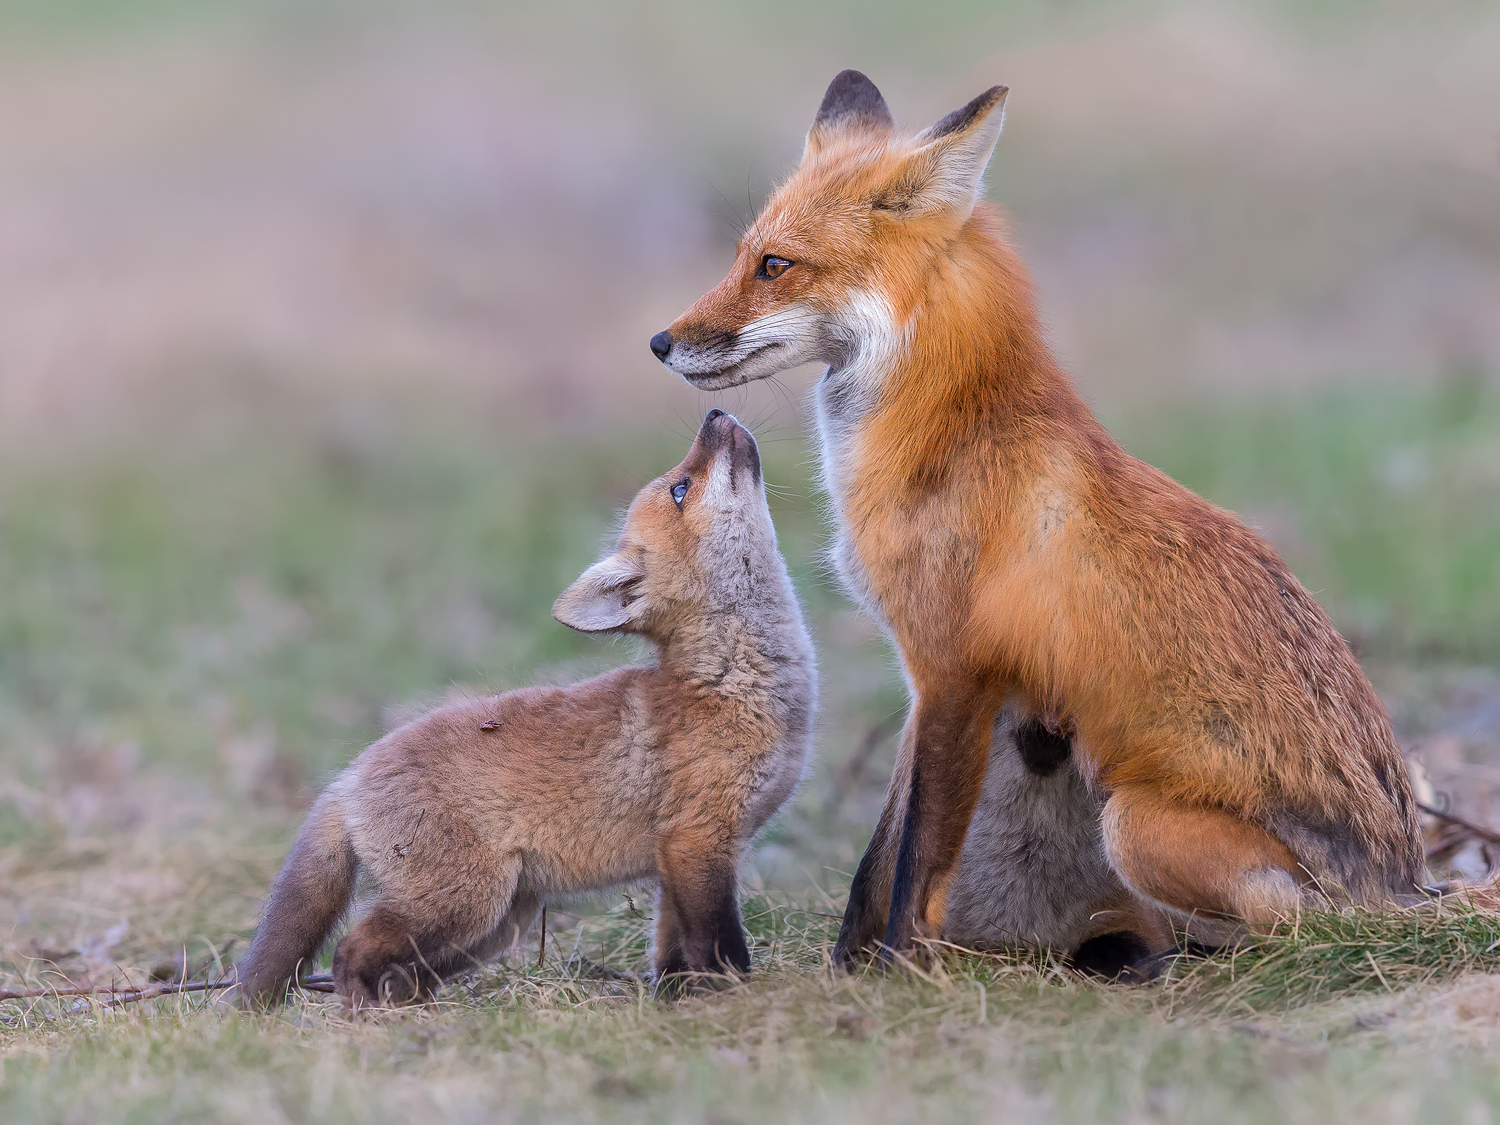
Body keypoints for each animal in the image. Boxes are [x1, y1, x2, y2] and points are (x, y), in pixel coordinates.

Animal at [231, 414, 822, 1014]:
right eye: (681, 488)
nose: (713, 416)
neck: (731, 684)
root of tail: (349, 776)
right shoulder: (697, 841)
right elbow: (721, 946)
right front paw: (738, 1000)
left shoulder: (679, 861)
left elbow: (673, 956)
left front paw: (676, 1003)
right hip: (462, 903)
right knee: (349, 952)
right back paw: (365, 1017)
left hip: (493, 924)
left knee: (404, 970)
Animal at [651, 70, 1422, 972]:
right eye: (743, 255)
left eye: (775, 265)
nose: (661, 341)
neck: (947, 431)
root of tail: (1407, 883)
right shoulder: (923, 679)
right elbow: (876, 860)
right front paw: (847, 970)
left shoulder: (954, 673)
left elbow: (919, 860)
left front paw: (899, 972)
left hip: (1134, 822)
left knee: (1300, 926)